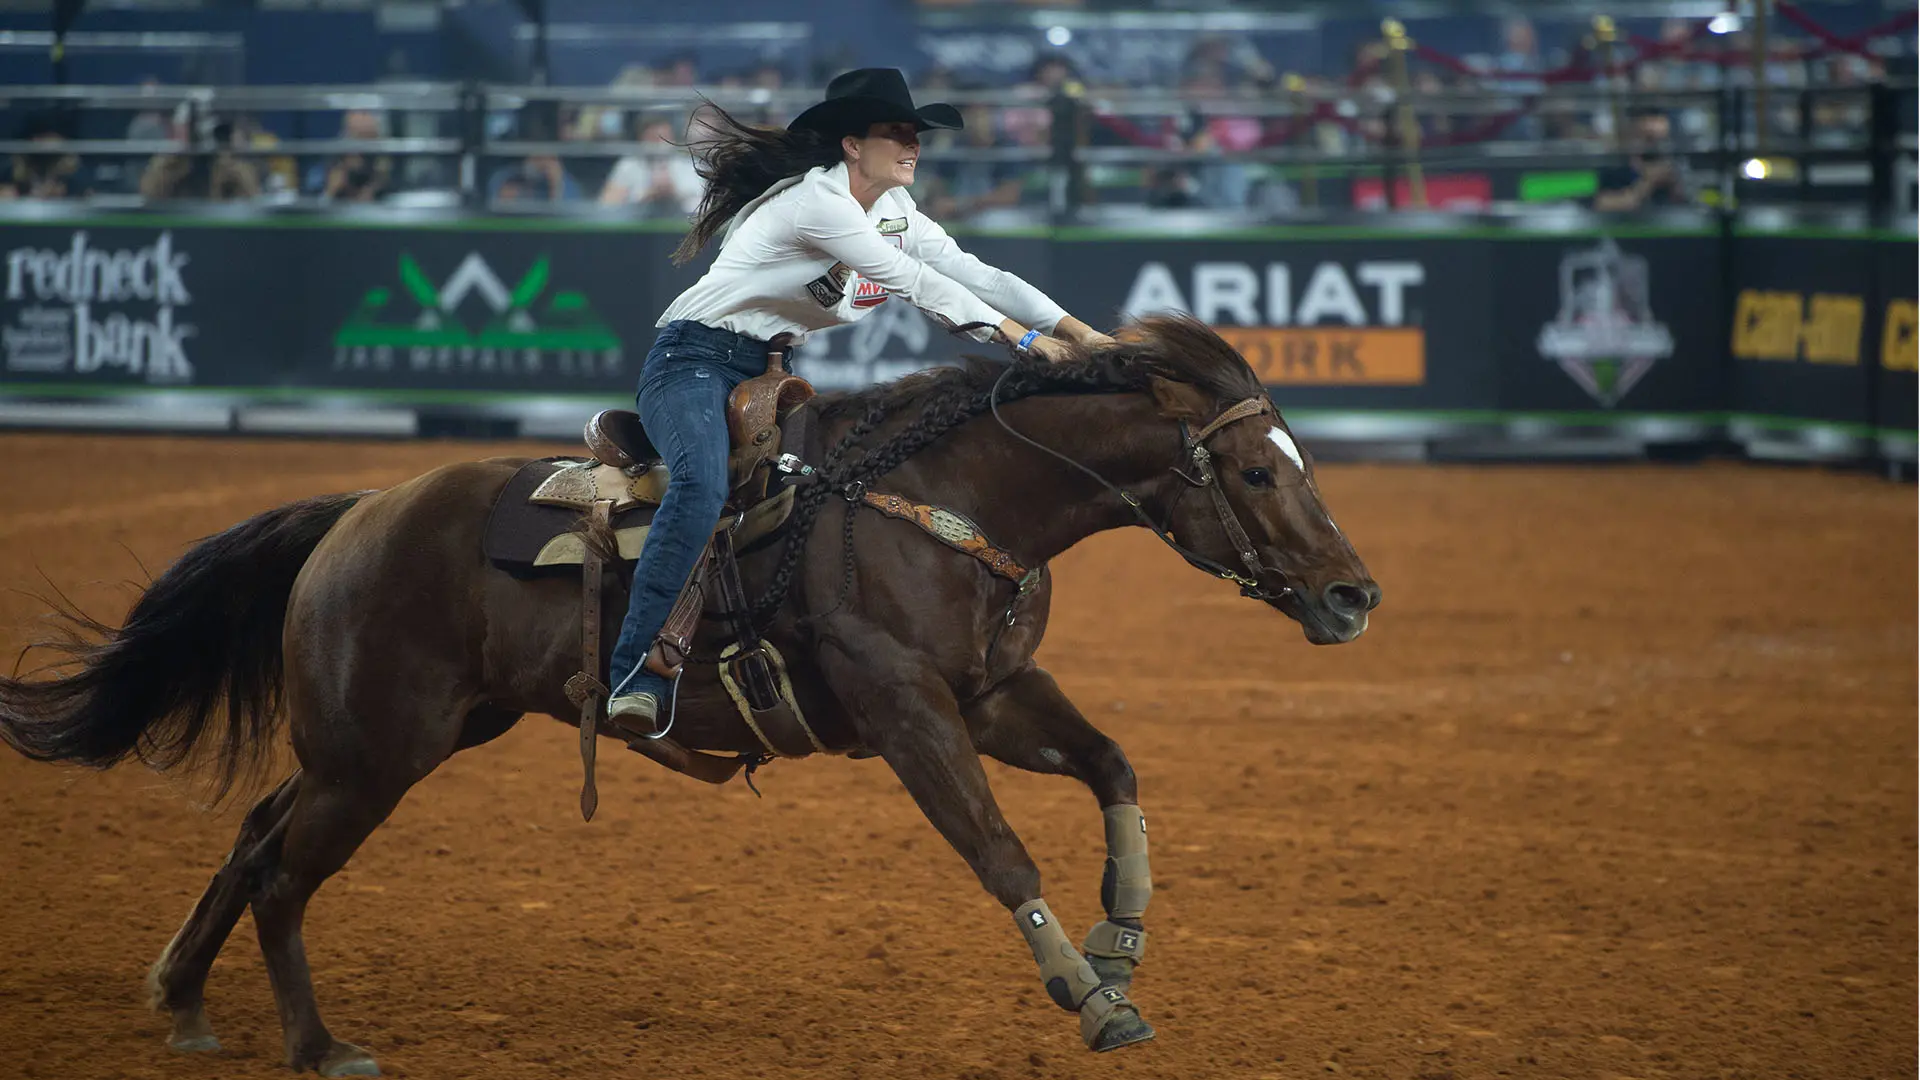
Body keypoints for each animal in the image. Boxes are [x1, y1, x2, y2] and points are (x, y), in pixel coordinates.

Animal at [0, 311, 1382, 1068]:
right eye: (1257, 472)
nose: (1355, 595)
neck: (938, 503)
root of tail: (359, 509)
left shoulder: (995, 693)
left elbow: (1112, 768)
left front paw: (1121, 941)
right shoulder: (908, 711)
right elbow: (998, 851)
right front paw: (1091, 1002)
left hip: (394, 739)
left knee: (253, 838)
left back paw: (185, 1003)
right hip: (374, 753)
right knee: (286, 873)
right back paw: (317, 1048)